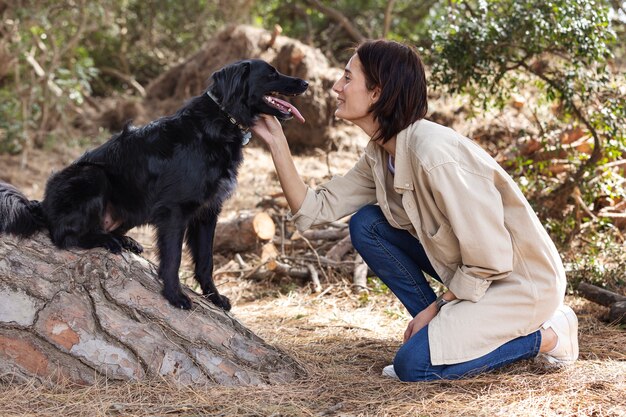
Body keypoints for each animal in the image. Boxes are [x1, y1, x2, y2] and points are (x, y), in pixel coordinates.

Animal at [0, 60, 308, 310]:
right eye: (271, 73)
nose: (306, 83)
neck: (222, 119)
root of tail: (42, 204)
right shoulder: (175, 211)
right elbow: (172, 259)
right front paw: (174, 295)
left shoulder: (208, 212)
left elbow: (206, 261)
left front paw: (214, 297)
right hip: (93, 176)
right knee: (63, 235)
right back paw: (106, 241)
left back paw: (123, 240)